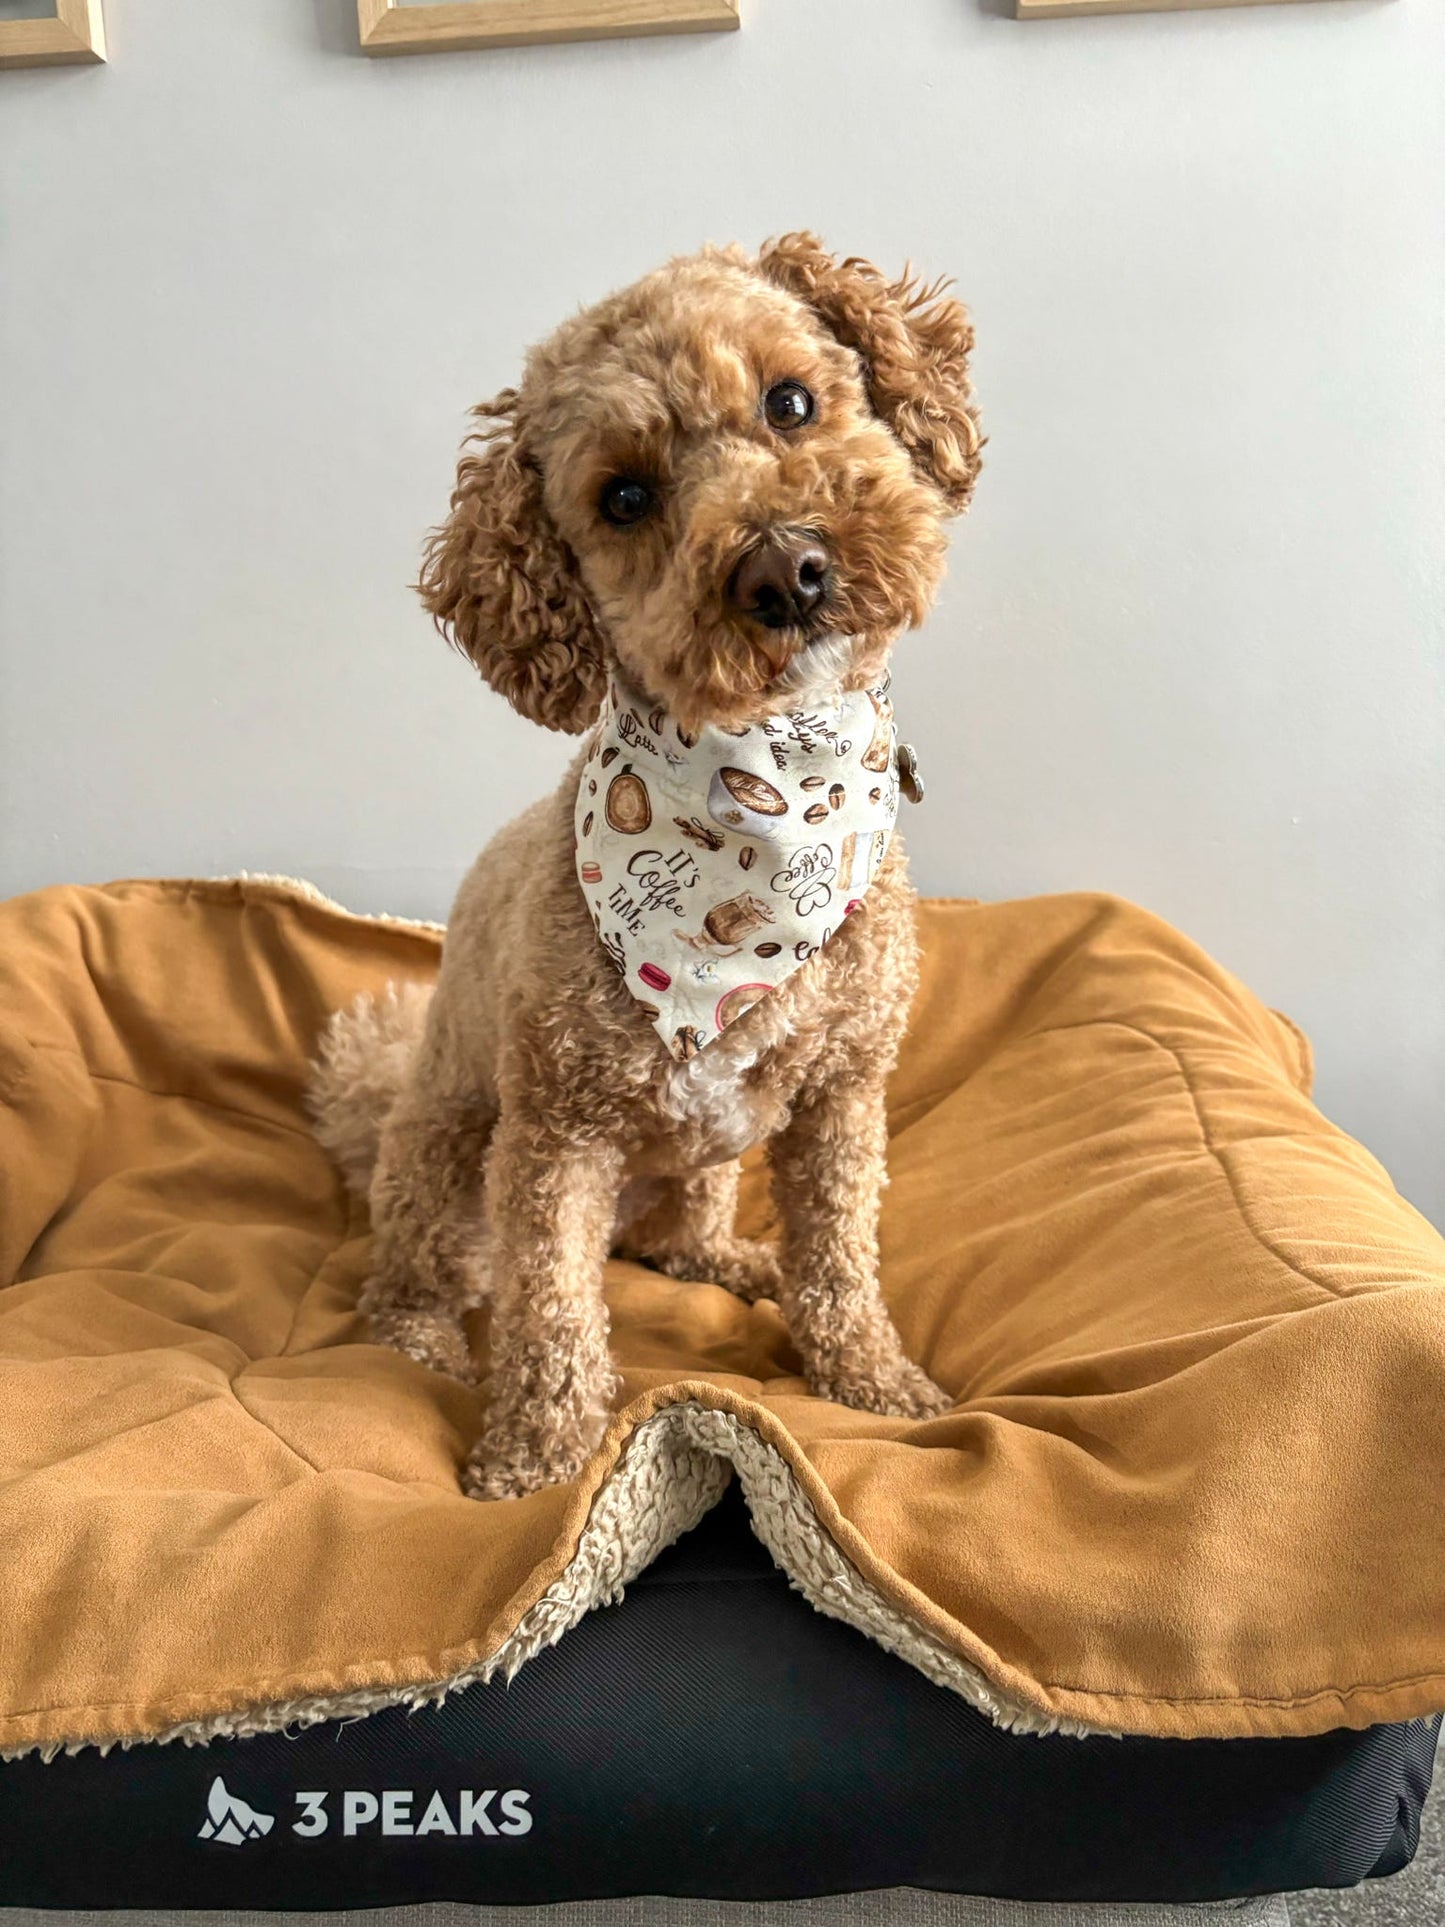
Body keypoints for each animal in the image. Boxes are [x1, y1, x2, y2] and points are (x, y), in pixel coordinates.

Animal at [315, 237, 986, 1503]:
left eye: (790, 402)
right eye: (622, 498)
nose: (786, 568)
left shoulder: (840, 1099)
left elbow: (841, 1258)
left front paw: (870, 1379)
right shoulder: (553, 1142)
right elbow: (552, 1311)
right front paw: (536, 1462)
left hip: (703, 1162)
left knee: (675, 1243)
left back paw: (736, 1261)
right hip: (444, 1151)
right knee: (417, 1276)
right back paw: (426, 1338)